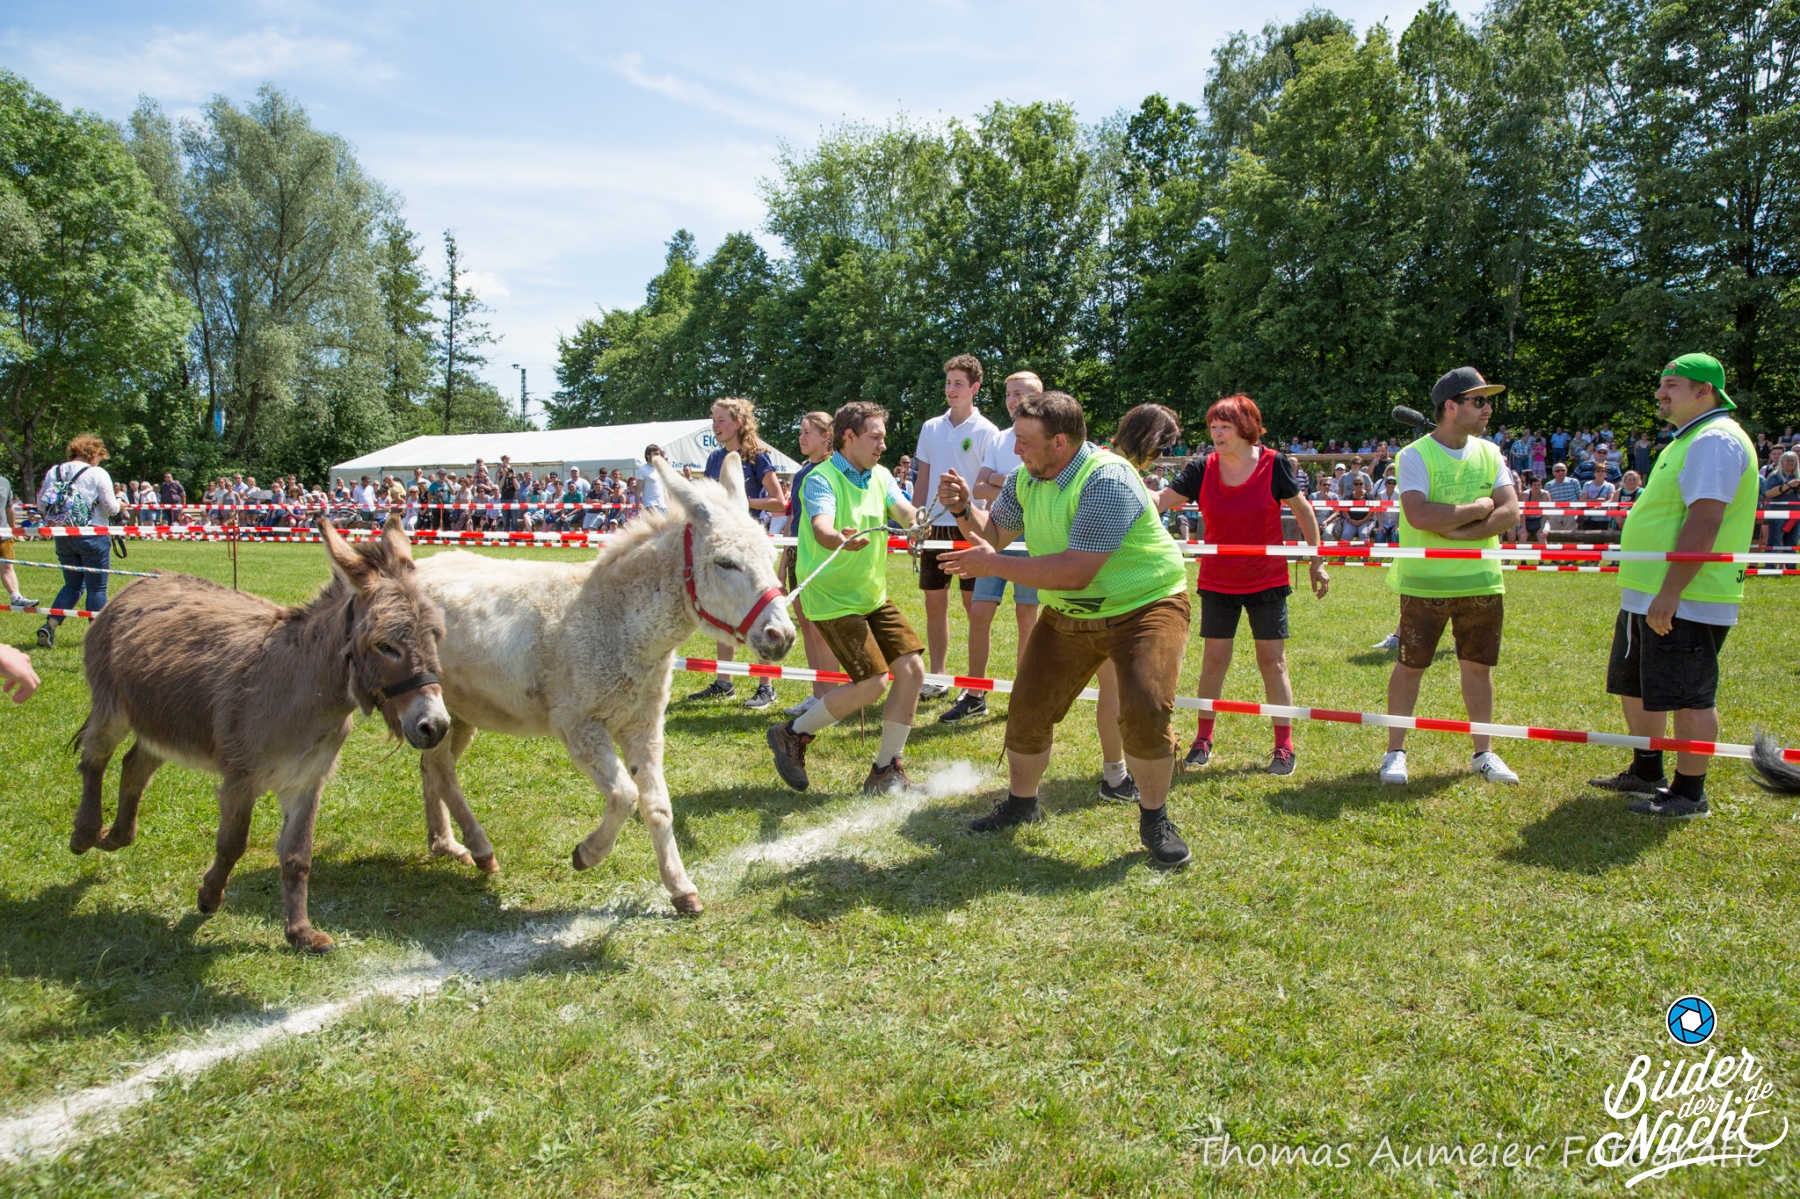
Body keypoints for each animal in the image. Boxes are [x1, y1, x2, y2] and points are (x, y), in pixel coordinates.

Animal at [73, 515, 450, 952]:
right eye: (385, 646)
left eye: (435, 637)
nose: (436, 726)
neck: (304, 691)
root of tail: (144, 581)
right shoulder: (241, 778)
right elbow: (233, 842)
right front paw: (209, 897)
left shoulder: (306, 782)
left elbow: (298, 857)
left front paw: (300, 932)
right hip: (112, 708)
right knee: (94, 757)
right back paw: (85, 834)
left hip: (162, 723)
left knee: (135, 764)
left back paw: (116, 836)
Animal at [411, 452, 797, 913]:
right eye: (726, 563)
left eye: (770, 555)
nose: (781, 636)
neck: (618, 622)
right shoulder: (578, 725)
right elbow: (625, 796)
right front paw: (586, 854)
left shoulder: (643, 725)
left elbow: (658, 806)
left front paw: (681, 888)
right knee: (443, 771)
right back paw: (479, 848)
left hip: (457, 715)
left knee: (432, 767)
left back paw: (444, 843)